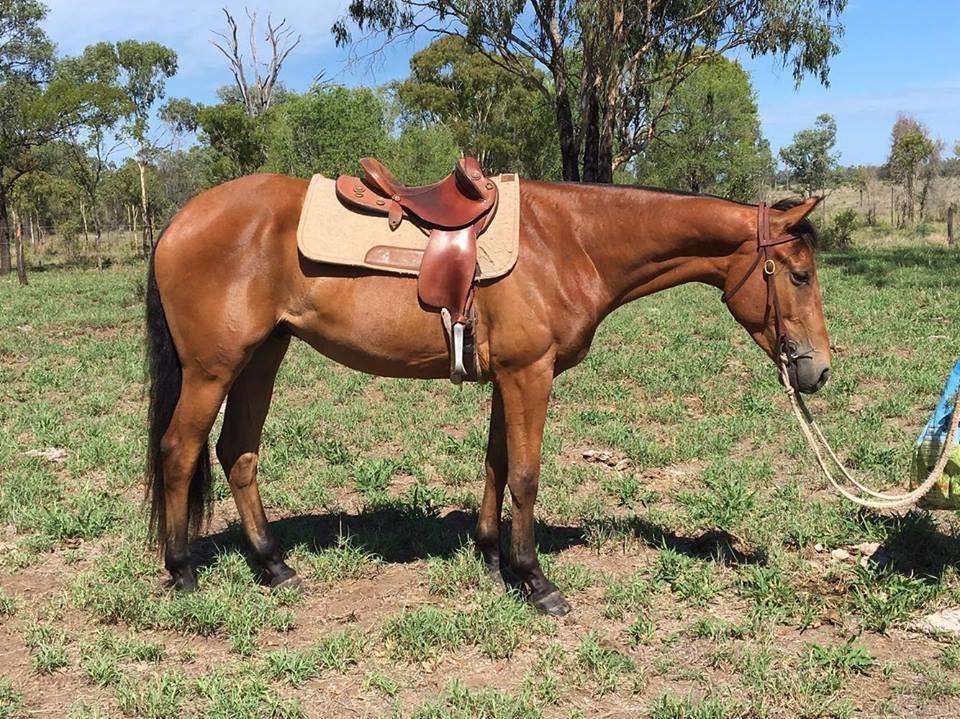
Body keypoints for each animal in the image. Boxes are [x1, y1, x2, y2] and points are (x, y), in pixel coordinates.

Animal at [145, 174, 830, 616]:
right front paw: (536, 581)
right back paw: (181, 572)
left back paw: (273, 565)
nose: (818, 370)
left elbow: (498, 463)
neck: (570, 240)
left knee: (237, 453)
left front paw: (491, 553)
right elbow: (526, 474)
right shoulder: (530, 373)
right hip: (213, 367)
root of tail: (180, 220)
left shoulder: (508, 376)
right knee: (180, 450)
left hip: (263, 355)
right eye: (799, 275)